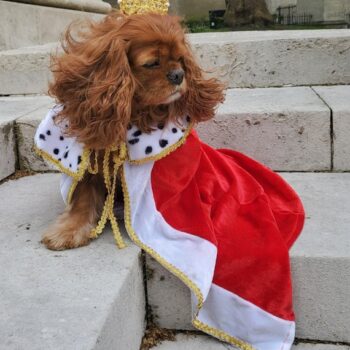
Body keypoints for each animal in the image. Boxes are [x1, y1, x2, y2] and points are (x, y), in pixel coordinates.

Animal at [41, 11, 224, 252]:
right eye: (152, 63)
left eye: (180, 59)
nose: (178, 74)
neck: (130, 113)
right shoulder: (90, 162)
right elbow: (83, 195)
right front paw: (70, 229)